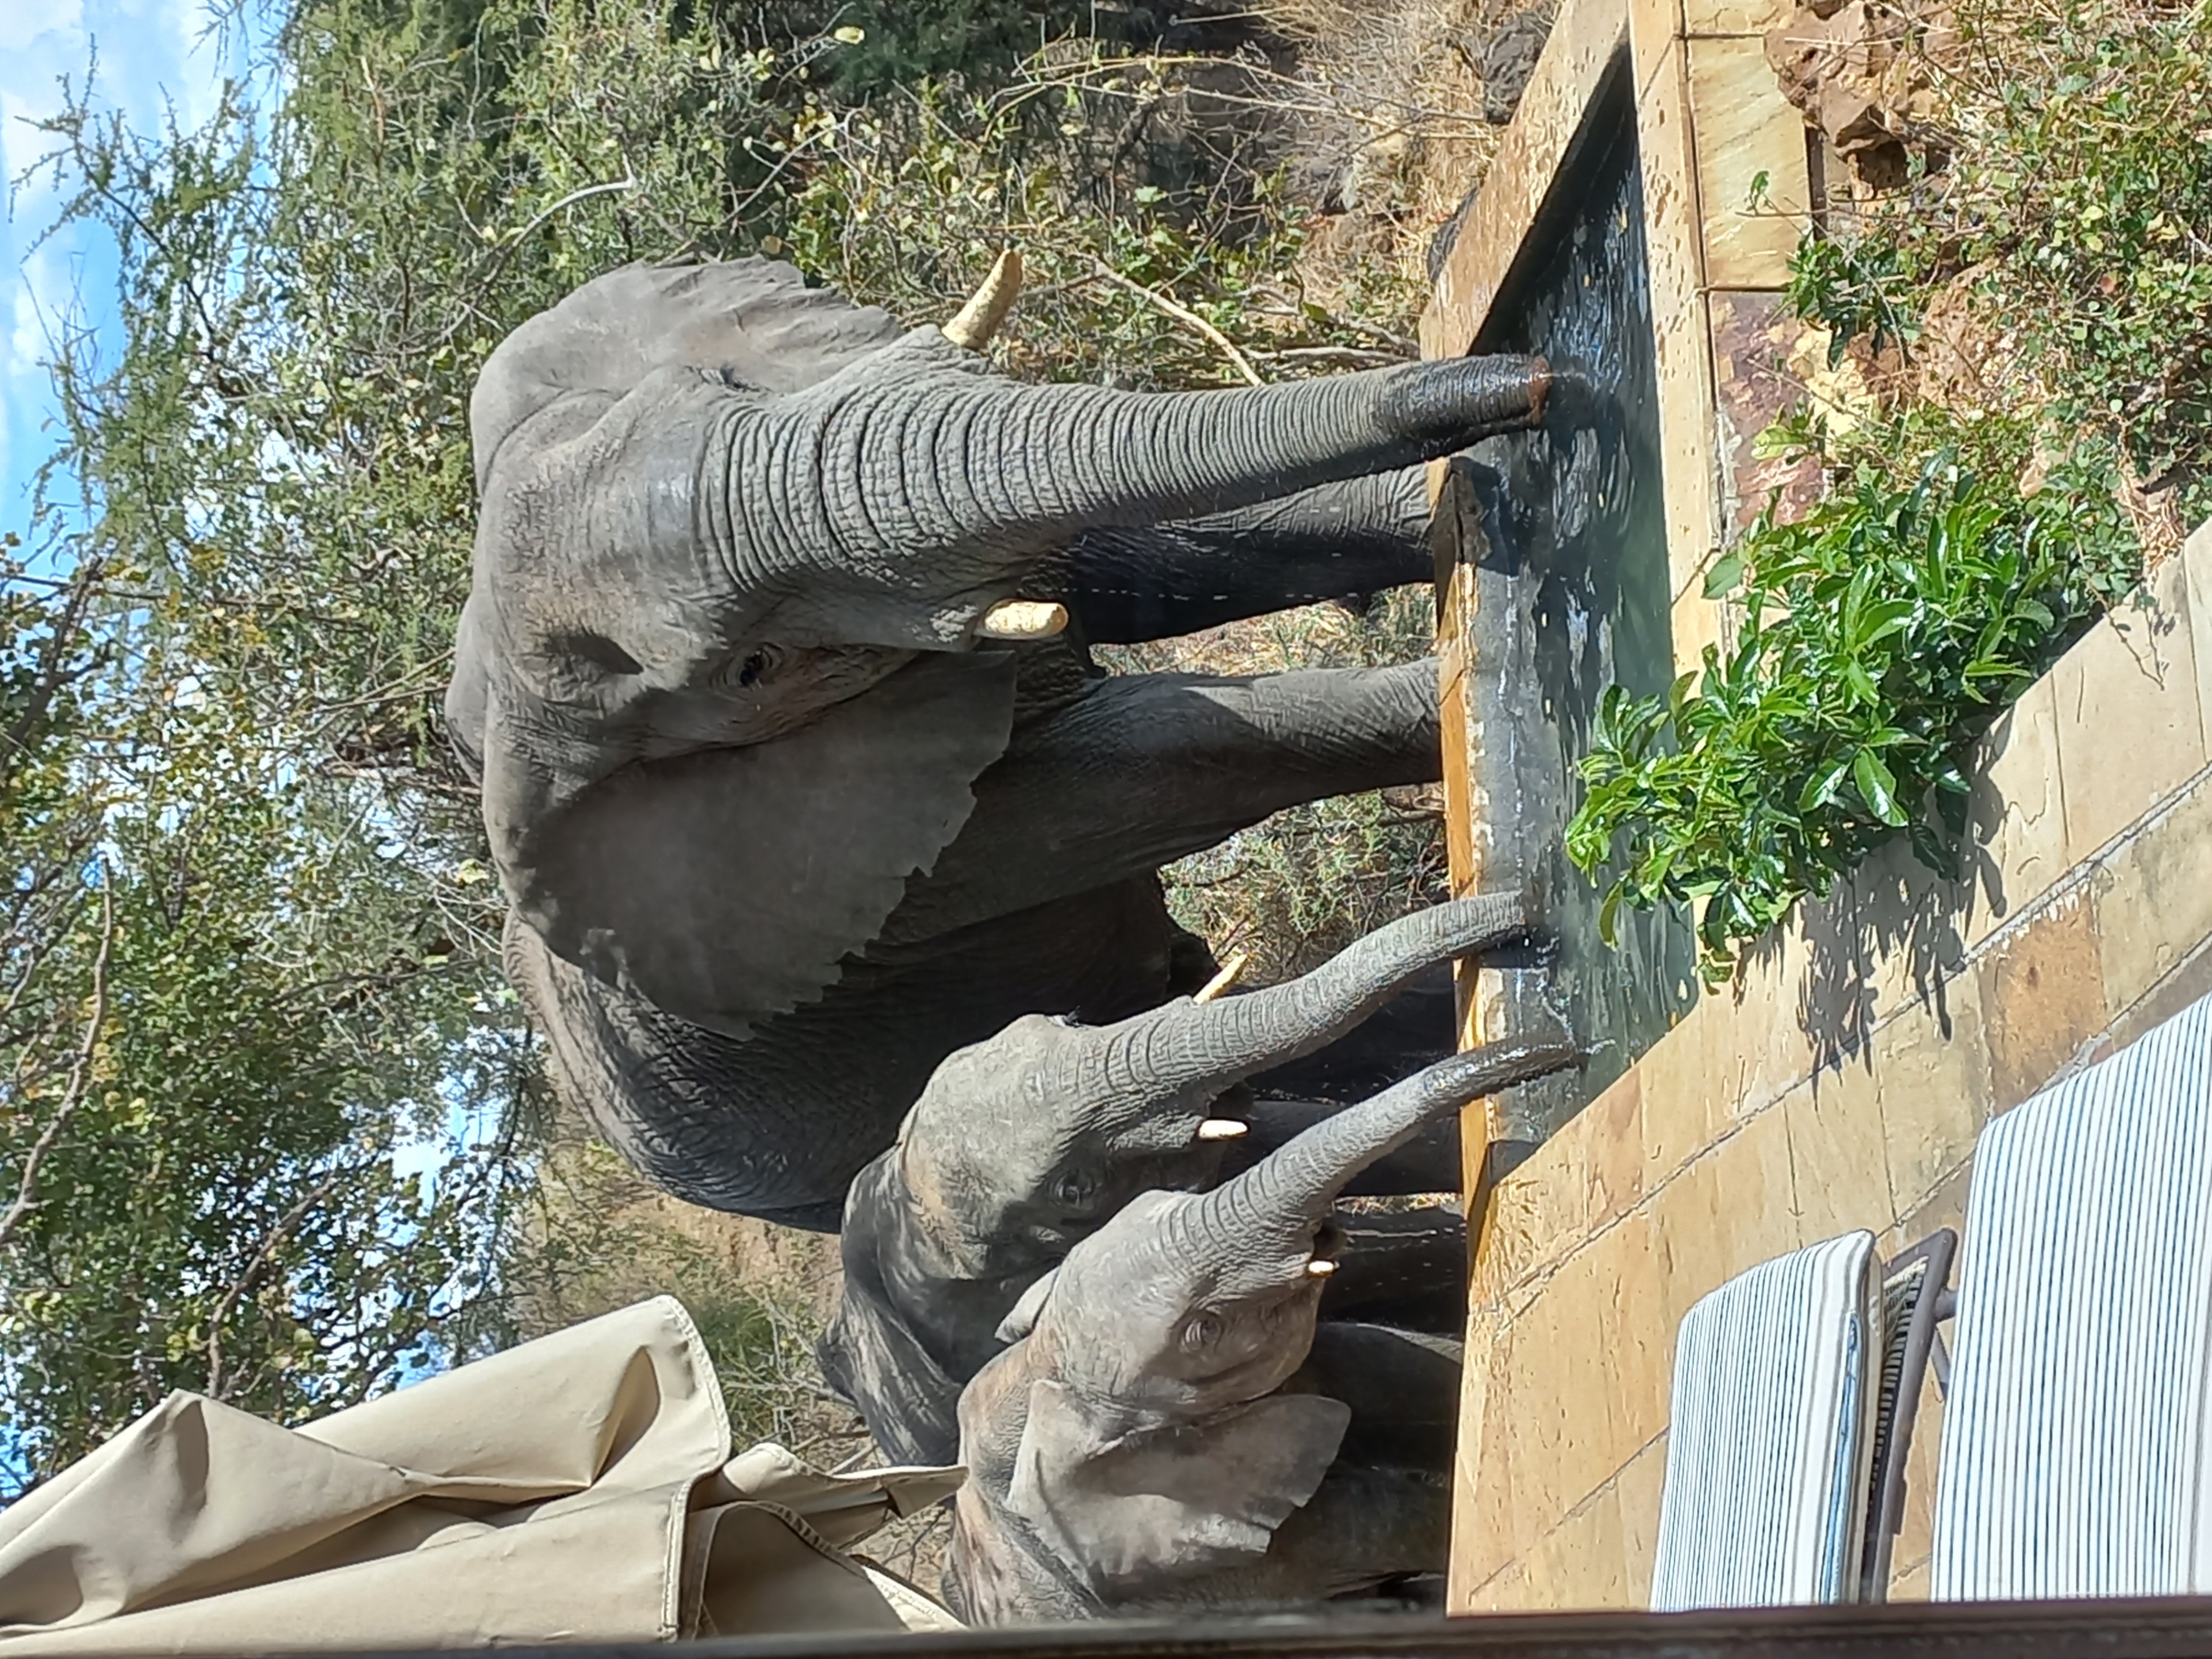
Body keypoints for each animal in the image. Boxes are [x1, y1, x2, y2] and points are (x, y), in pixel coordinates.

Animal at [450, 252, 1552, 1226]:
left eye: (718, 387)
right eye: (750, 668)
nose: (1537, 380)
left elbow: (1169, 551)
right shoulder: (874, 883)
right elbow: (1155, 760)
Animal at [943, 1031, 1582, 1622]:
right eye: (1203, 1331)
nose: (1560, 1050)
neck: (1043, 1371)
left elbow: (1408, 1372)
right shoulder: (1199, 1548)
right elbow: (1380, 1524)